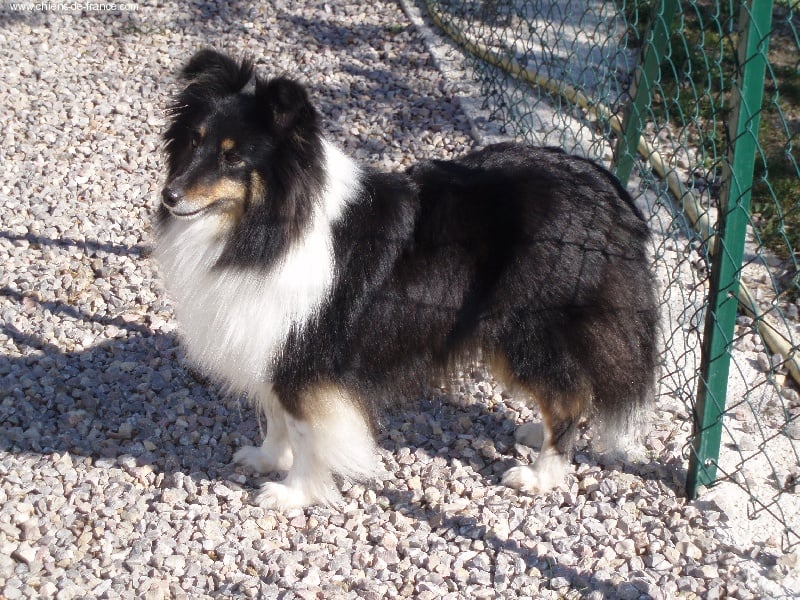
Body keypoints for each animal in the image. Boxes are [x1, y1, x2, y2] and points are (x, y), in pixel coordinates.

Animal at [154, 49, 659, 510]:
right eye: (194, 141)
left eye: (234, 158)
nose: (169, 195)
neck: (265, 227)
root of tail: (609, 191)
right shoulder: (269, 340)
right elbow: (276, 415)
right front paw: (265, 458)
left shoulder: (307, 357)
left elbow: (304, 431)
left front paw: (293, 493)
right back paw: (537, 434)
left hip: (528, 332)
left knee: (568, 395)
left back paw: (540, 475)